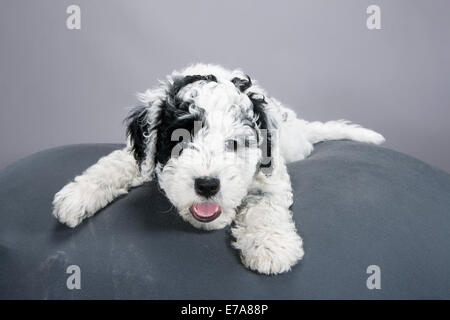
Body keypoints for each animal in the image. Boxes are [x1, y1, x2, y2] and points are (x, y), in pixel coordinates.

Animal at [51, 63, 384, 276]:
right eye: (179, 139)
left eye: (235, 143)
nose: (208, 185)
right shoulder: (137, 156)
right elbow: (115, 163)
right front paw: (76, 196)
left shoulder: (270, 173)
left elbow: (265, 203)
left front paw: (271, 247)